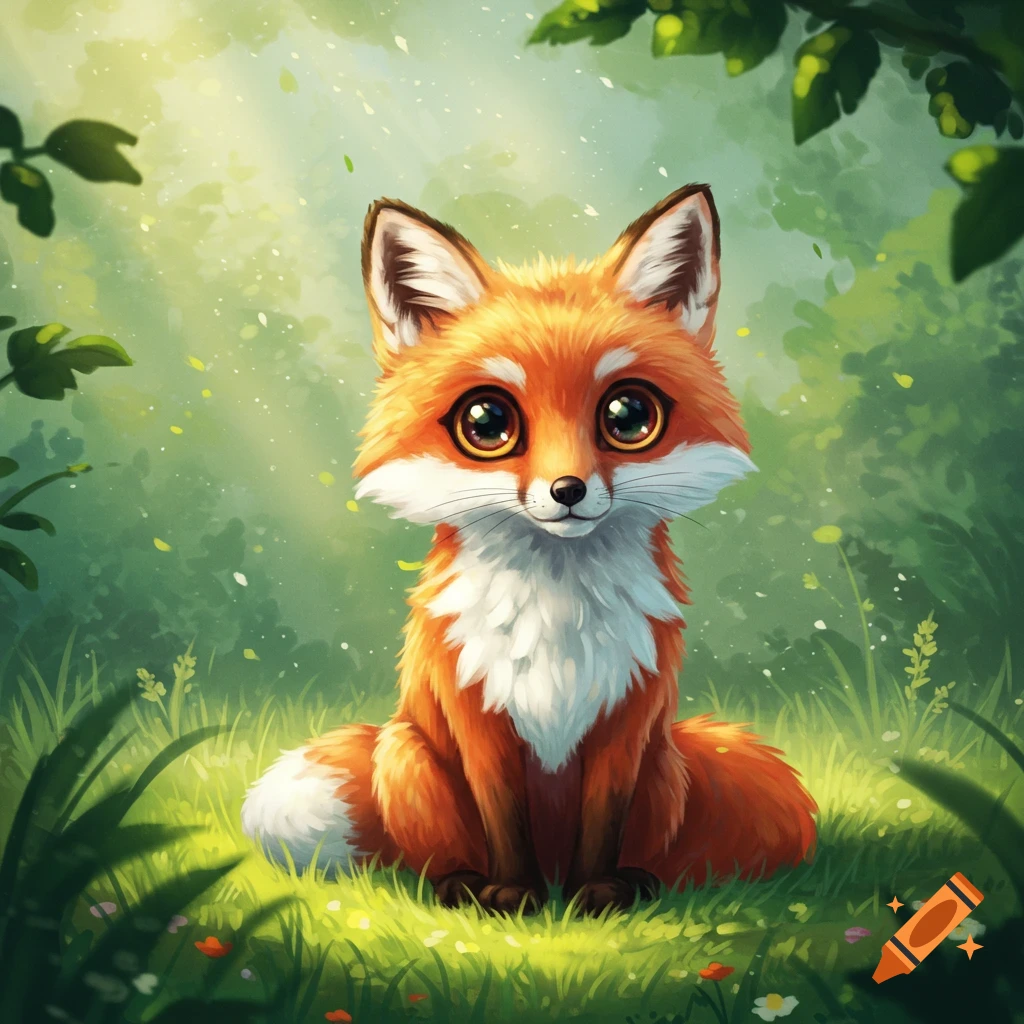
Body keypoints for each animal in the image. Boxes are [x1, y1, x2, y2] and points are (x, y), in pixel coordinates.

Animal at [240, 183, 817, 915]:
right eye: (487, 421)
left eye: (628, 415)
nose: (568, 490)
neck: (557, 618)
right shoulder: (478, 714)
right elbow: (502, 817)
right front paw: (510, 894)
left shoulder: (625, 718)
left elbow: (602, 819)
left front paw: (598, 891)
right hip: (407, 758)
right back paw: (463, 884)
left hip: (663, 771)